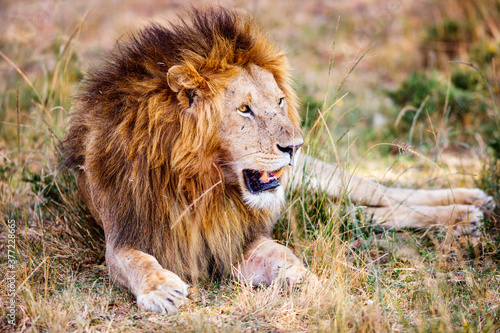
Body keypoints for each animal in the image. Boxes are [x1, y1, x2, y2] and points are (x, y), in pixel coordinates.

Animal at [60, 8, 494, 314]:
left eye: (281, 101)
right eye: (245, 109)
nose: (295, 146)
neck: (200, 185)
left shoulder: (238, 238)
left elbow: (284, 256)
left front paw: (313, 283)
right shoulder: (124, 235)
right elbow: (137, 262)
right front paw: (162, 289)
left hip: (318, 178)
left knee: (384, 195)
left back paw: (468, 206)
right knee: (364, 215)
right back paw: (469, 214)